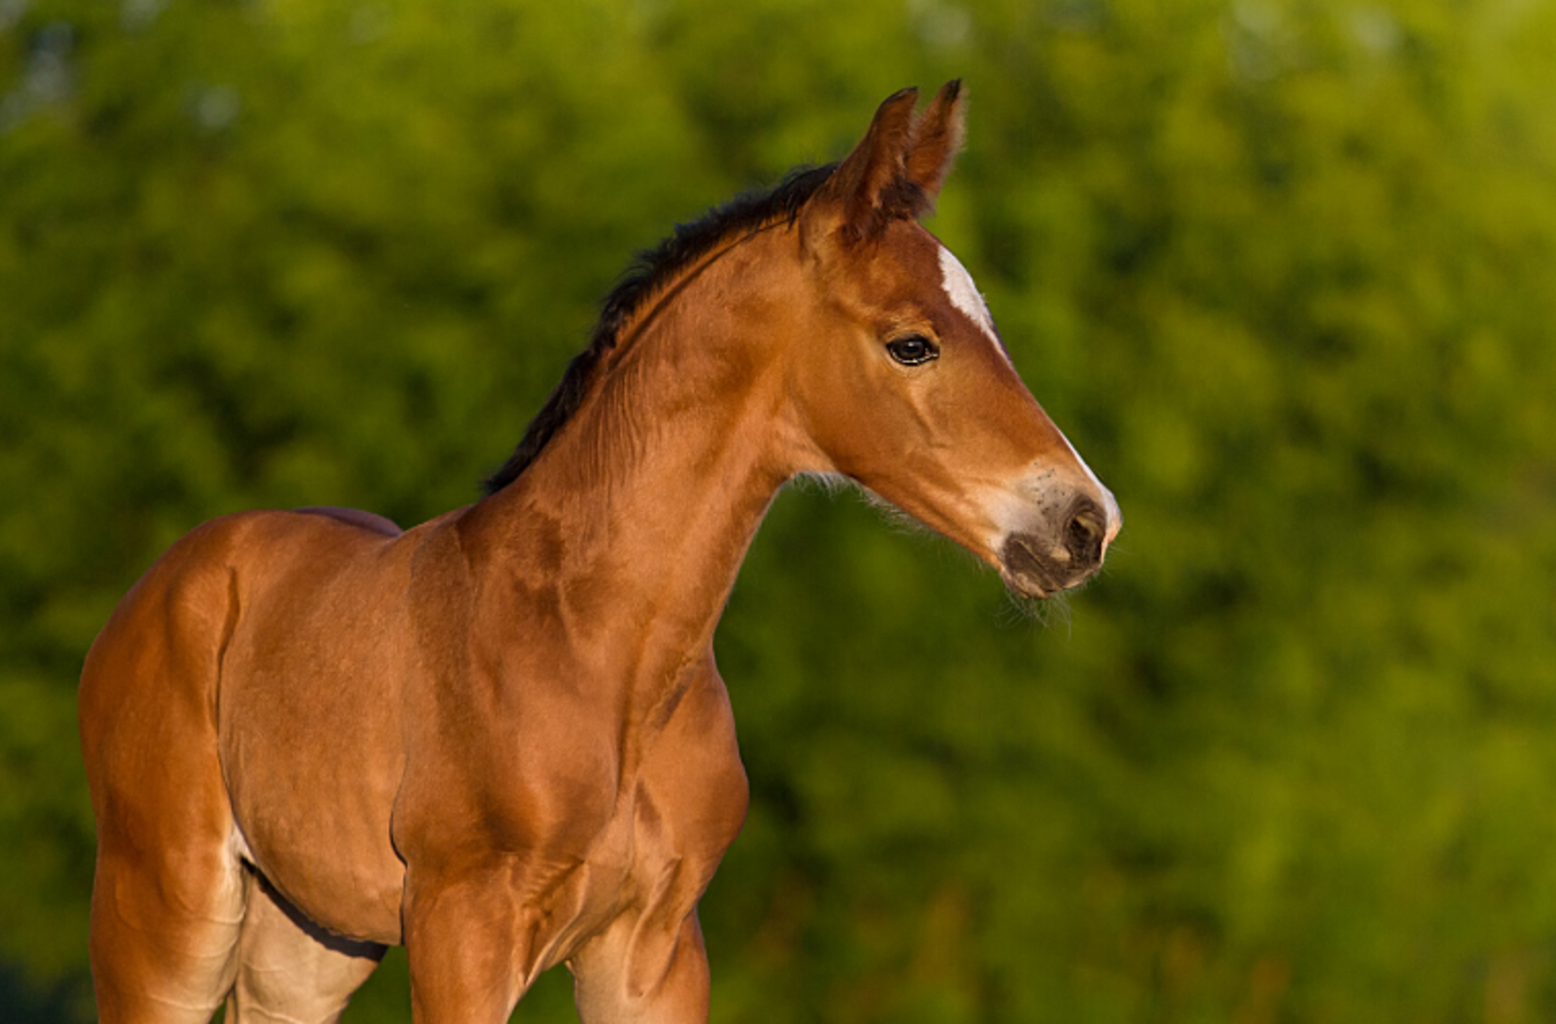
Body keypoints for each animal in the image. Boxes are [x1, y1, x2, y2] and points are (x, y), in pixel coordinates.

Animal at [78, 81, 1120, 1020]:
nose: (1086, 522)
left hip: (309, 940)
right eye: (911, 343)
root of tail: (168, 582)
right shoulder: (462, 931)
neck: (603, 649)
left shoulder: (655, 947)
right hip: (165, 911)